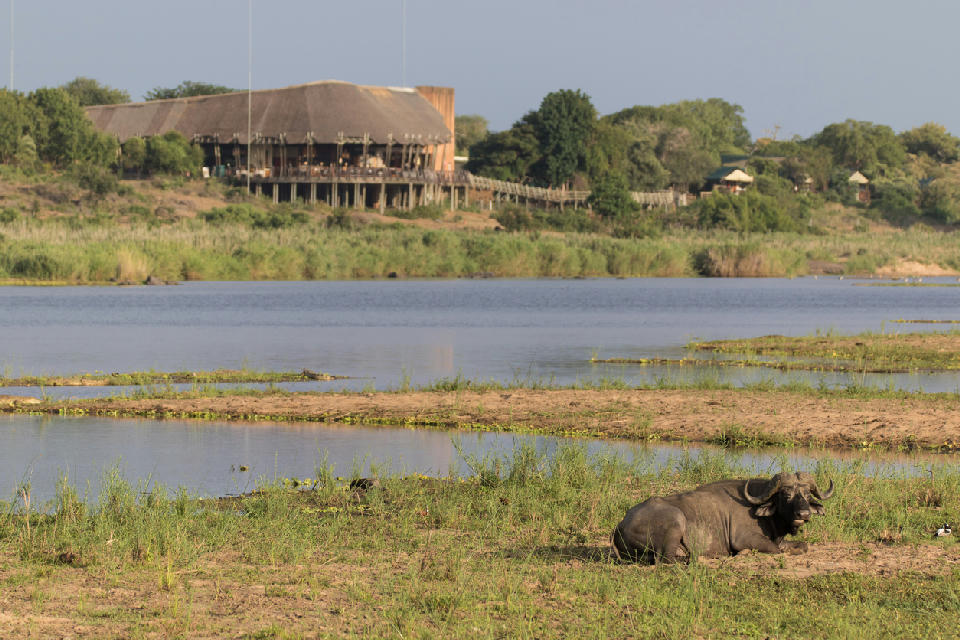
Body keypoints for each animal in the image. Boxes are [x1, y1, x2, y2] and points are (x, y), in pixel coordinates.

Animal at [611, 472, 834, 563]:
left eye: (807, 495)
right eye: (786, 494)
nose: (803, 514)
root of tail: (619, 527)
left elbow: (802, 546)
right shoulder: (744, 539)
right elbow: (775, 550)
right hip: (676, 520)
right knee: (666, 559)